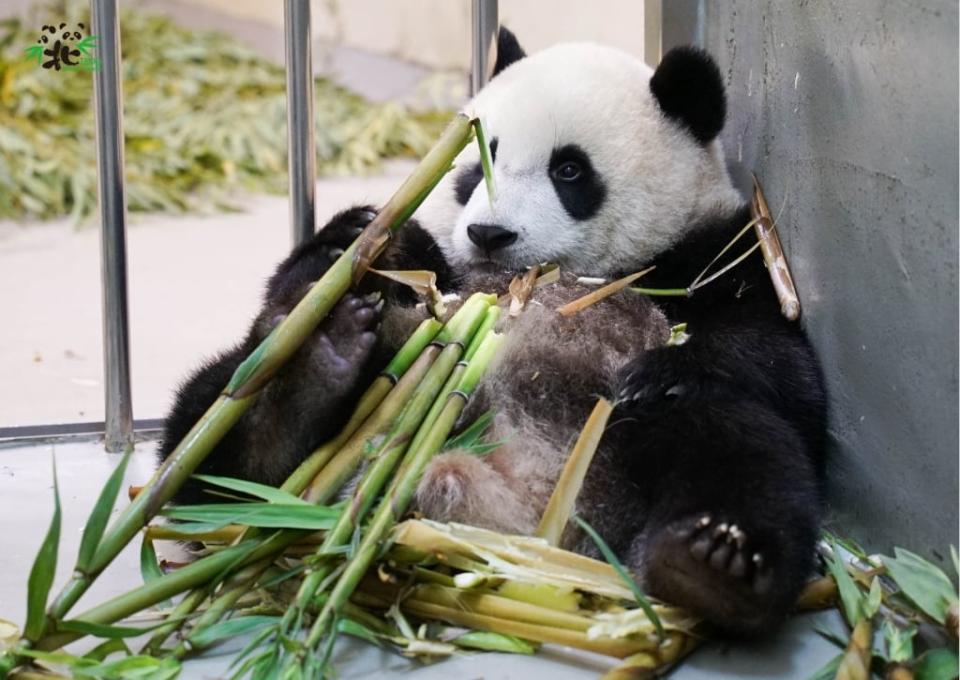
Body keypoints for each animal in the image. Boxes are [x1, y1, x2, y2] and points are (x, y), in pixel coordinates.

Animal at [158, 30, 824, 636]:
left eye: (569, 169)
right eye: (480, 162)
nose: (489, 234)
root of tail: (520, 504)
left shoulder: (719, 255)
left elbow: (783, 369)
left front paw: (662, 370)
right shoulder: (447, 276)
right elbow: (361, 268)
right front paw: (355, 236)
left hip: (628, 436)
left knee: (742, 452)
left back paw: (711, 564)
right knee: (206, 430)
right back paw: (305, 387)